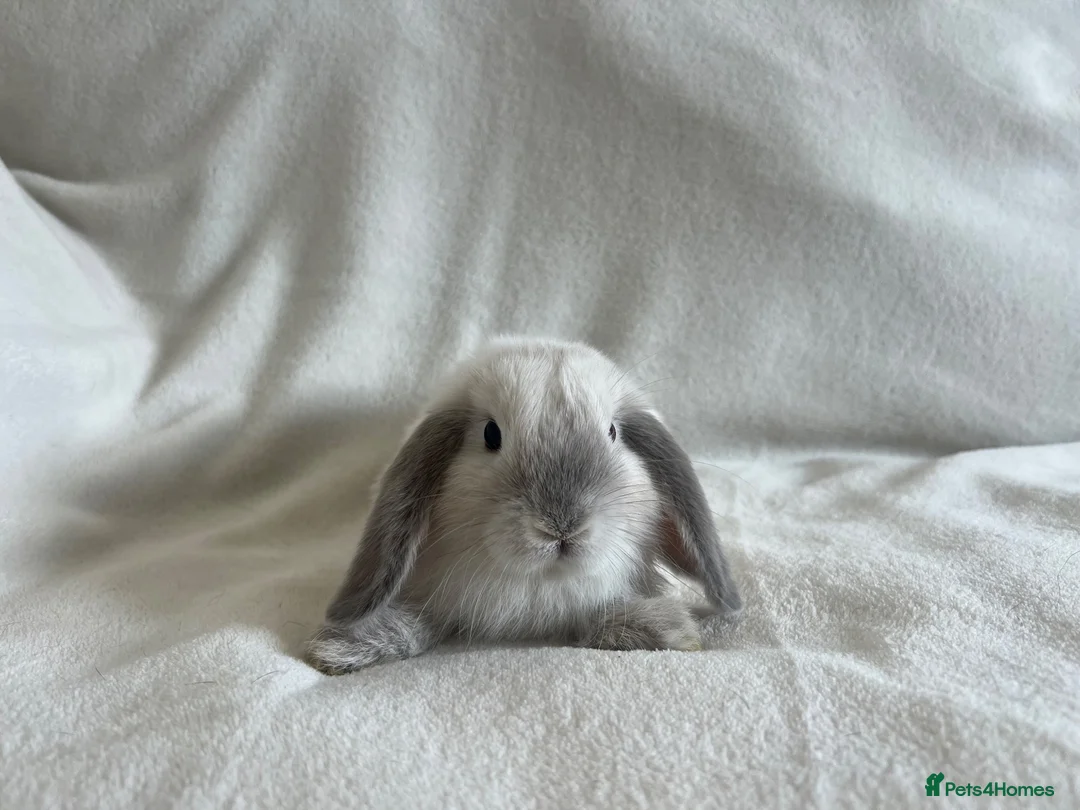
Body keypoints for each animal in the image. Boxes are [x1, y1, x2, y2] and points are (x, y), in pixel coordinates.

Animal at [306, 336, 741, 674]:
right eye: (490, 434)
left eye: (613, 432)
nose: (561, 527)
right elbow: (421, 624)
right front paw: (343, 646)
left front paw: (665, 629)